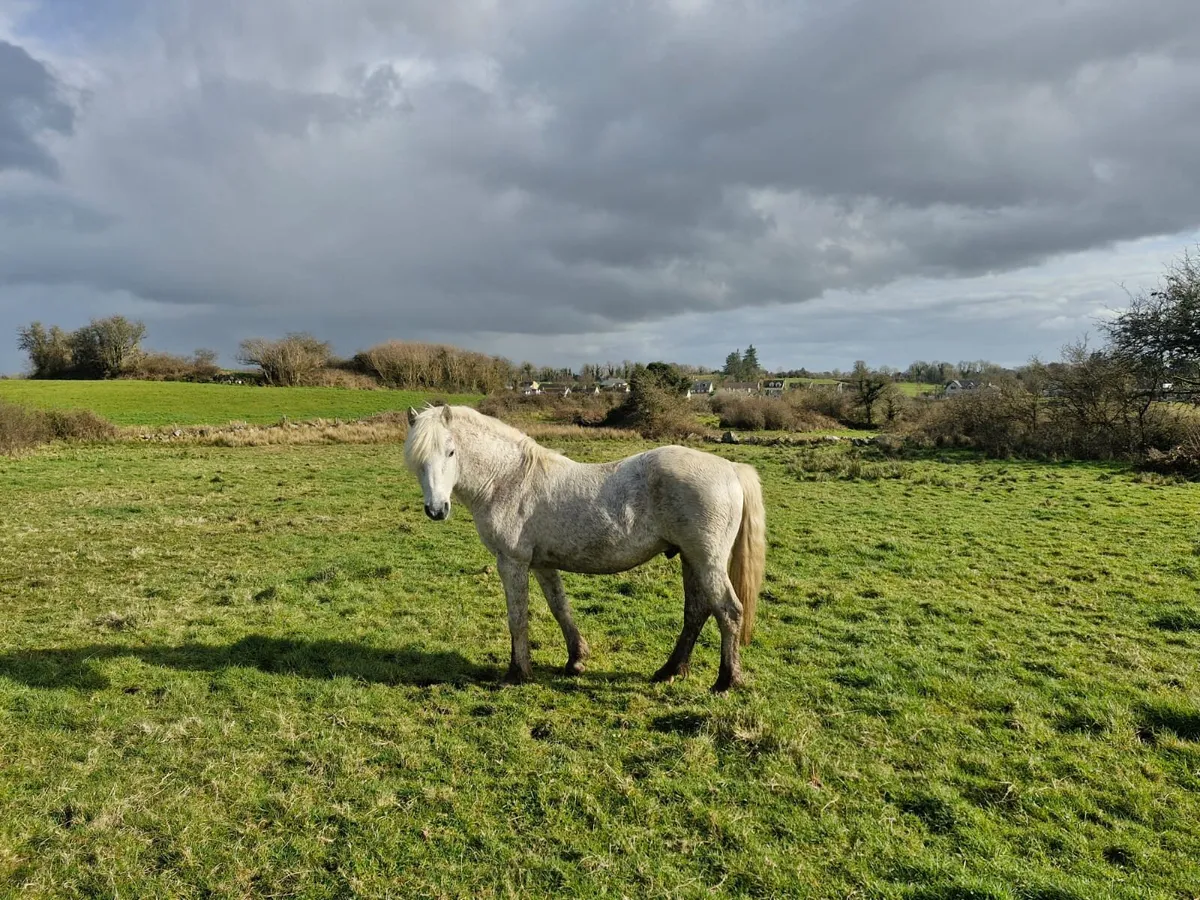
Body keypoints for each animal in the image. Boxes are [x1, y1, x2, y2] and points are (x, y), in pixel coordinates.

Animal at [403, 404, 766, 693]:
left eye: (450, 452)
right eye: (418, 460)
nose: (436, 509)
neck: (507, 480)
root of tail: (731, 469)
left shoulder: (512, 562)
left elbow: (517, 617)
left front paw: (517, 673)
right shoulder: (542, 564)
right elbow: (560, 608)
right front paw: (576, 660)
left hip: (707, 561)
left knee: (728, 611)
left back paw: (725, 681)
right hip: (690, 559)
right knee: (696, 613)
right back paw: (669, 671)